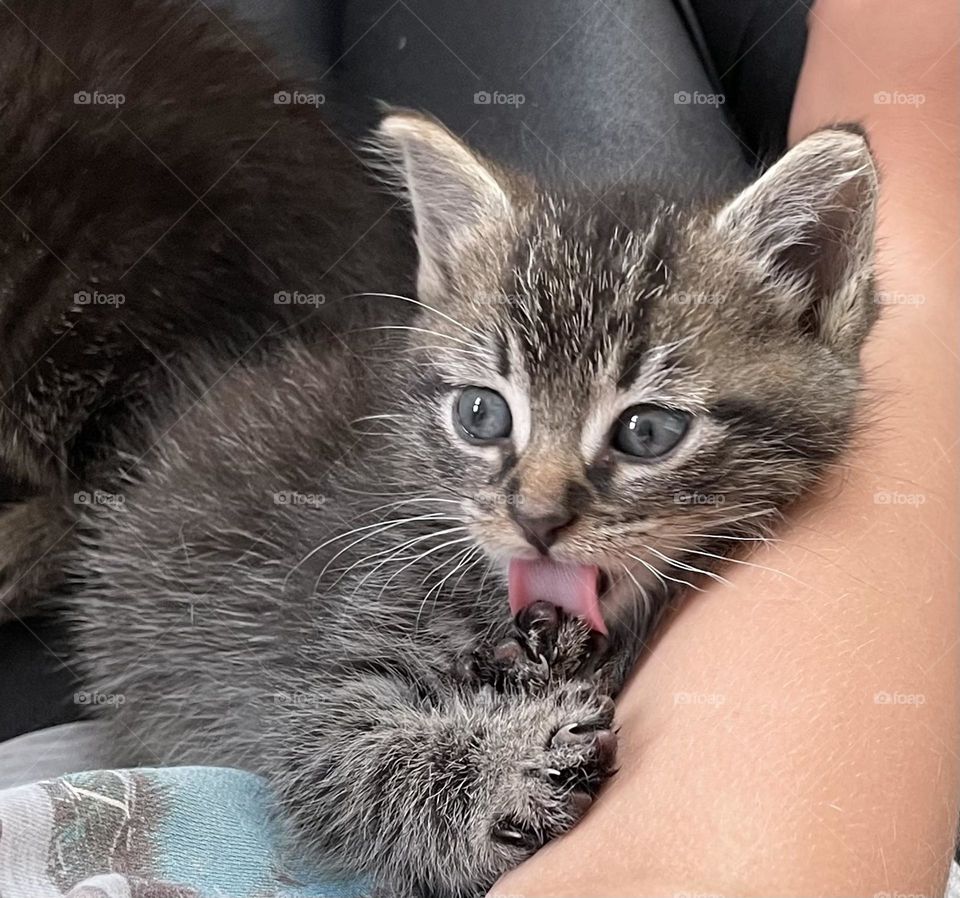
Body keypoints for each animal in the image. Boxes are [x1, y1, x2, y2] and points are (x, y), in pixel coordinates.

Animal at [63, 96, 876, 896]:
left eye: (647, 430)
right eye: (481, 414)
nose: (536, 519)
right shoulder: (320, 673)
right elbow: (345, 764)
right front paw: (507, 768)